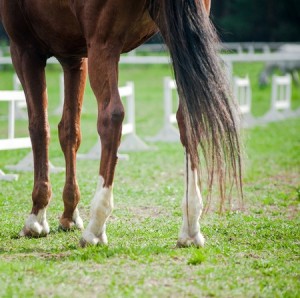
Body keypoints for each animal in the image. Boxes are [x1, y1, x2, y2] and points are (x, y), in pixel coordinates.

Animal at [0, 0, 241, 247]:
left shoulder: (25, 50)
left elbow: (39, 127)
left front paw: (36, 218)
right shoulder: (74, 58)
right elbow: (69, 131)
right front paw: (70, 215)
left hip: (104, 44)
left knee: (111, 117)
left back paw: (95, 228)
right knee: (186, 117)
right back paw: (191, 228)